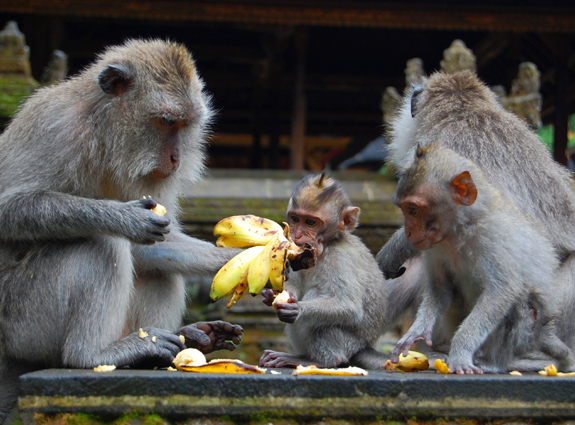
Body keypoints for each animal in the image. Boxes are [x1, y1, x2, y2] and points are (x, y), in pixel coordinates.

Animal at [0, 39, 245, 420]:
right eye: (166, 122)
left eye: (184, 125)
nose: (176, 159)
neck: (103, 135)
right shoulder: (54, 126)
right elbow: (8, 209)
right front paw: (122, 217)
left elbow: (150, 246)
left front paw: (241, 258)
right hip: (23, 323)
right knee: (101, 244)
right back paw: (91, 355)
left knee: (158, 269)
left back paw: (171, 346)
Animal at [260, 172, 392, 368]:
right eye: (295, 219)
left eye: (310, 222)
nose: (296, 235)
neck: (328, 244)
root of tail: (363, 347)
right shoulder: (297, 254)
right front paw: (272, 296)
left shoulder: (340, 260)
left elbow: (350, 306)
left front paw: (297, 309)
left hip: (347, 343)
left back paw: (316, 360)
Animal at [390, 144, 572, 372]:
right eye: (404, 209)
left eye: (413, 210)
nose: (408, 232)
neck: (460, 230)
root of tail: (542, 335)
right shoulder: (434, 247)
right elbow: (440, 287)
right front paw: (418, 331)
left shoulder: (493, 236)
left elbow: (502, 291)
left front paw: (460, 353)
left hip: (526, 335)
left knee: (520, 297)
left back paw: (494, 363)